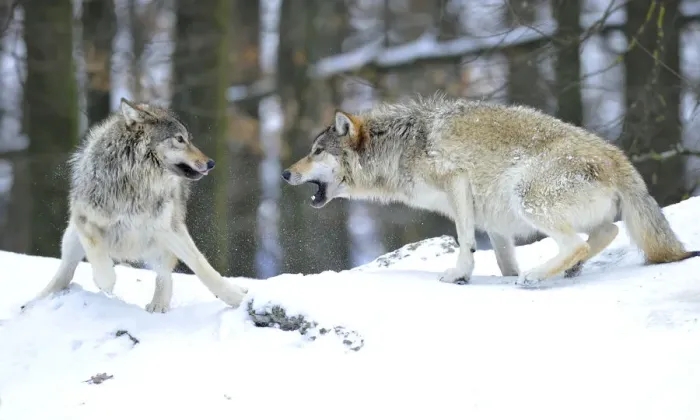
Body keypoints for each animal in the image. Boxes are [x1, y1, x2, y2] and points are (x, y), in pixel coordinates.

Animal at [29, 98, 248, 312]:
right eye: (179, 139)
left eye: (188, 139)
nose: (211, 163)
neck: (134, 183)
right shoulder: (84, 220)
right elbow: (100, 261)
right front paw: (106, 282)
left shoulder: (168, 228)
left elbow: (201, 265)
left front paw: (236, 298)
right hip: (71, 238)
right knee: (65, 272)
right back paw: (34, 302)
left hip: (161, 240)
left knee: (164, 273)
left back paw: (158, 306)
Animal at [281, 94, 699, 286]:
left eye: (316, 152)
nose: (285, 174)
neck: (403, 146)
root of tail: (618, 158)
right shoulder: (495, 222)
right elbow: (502, 261)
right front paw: (504, 277)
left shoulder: (458, 184)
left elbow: (465, 241)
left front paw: (459, 275)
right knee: (606, 232)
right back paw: (561, 271)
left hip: (525, 195)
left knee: (579, 243)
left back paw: (537, 277)